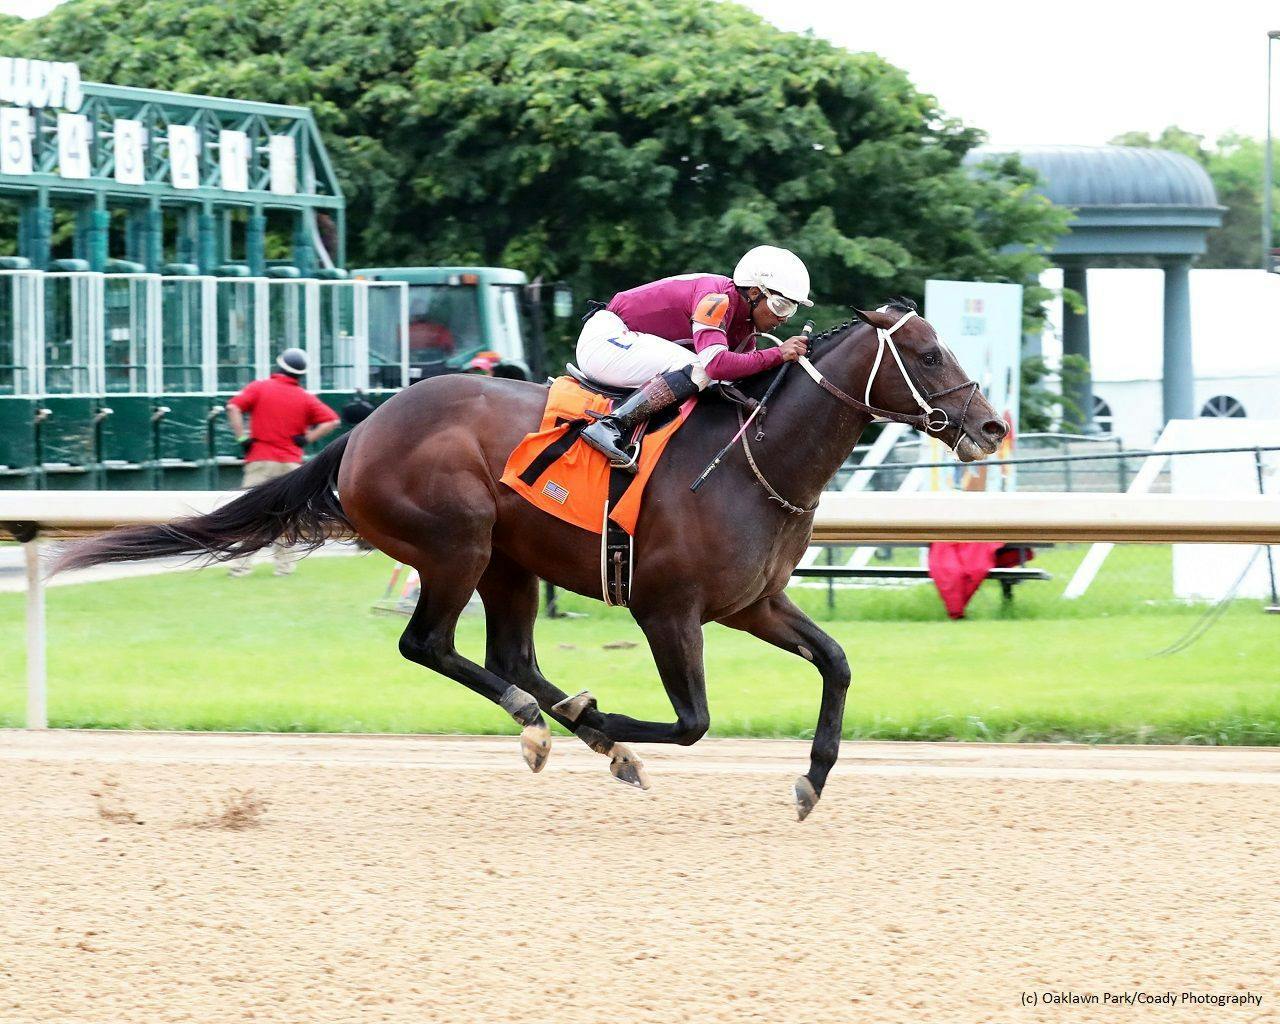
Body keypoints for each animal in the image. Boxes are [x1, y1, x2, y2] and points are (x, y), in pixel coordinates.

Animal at [57, 302, 1008, 814]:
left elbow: (837, 662)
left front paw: (811, 779)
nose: (992, 426)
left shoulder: (753, 603)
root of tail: (362, 429)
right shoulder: (667, 610)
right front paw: (608, 720)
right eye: (928, 353)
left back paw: (575, 728)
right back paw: (554, 724)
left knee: (509, 654)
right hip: (457, 543)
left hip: (509, 562)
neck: (753, 457)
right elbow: (693, 722)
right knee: (431, 646)